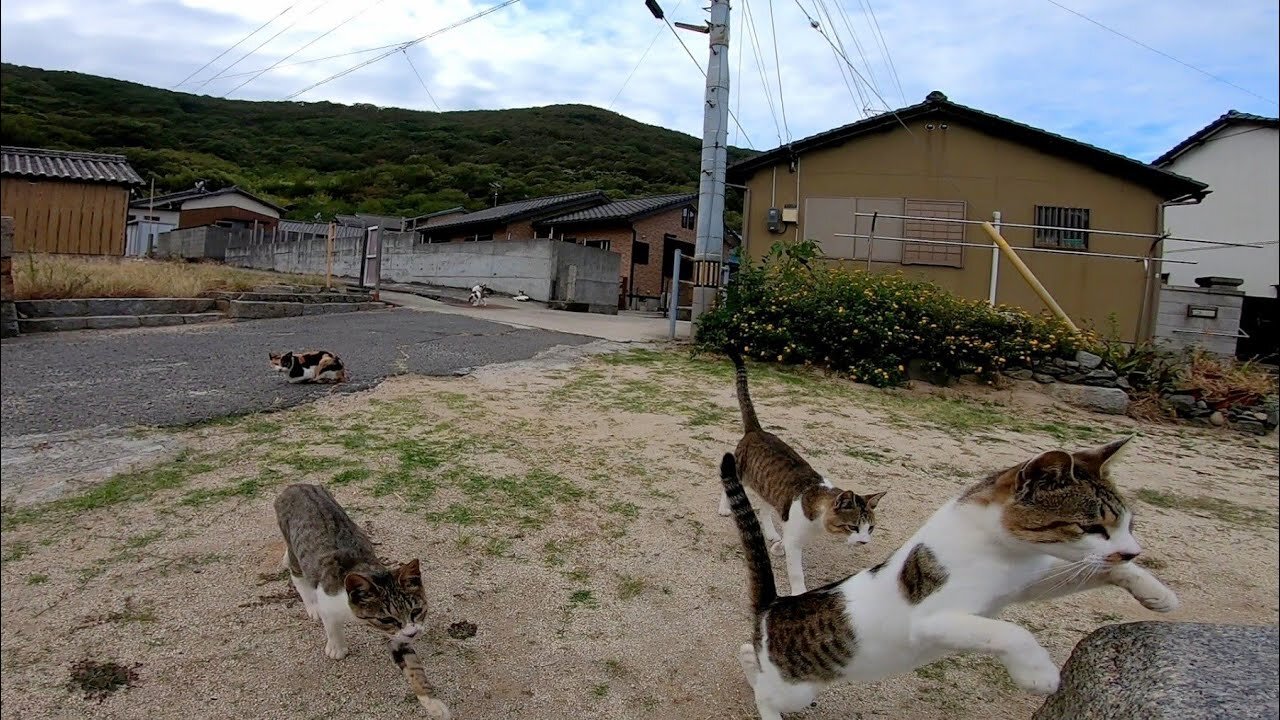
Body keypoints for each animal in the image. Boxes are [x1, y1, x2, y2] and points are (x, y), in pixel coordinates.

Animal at [273, 481, 450, 717]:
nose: (413, 634)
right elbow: (331, 625)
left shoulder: (400, 636)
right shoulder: (327, 599)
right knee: (297, 574)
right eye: (387, 619)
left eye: (416, 611)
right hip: (294, 545)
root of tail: (296, 485)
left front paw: (431, 702)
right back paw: (310, 605)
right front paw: (336, 648)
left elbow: (412, 665)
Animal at [716, 438, 1172, 717]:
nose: (1133, 548)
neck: (1005, 554)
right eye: (1092, 527)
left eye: (1129, 524)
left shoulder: (1026, 583)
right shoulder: (932, 620)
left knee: (746, 653)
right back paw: (768, 711)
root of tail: (775, 605)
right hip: (794, 688)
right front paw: (1039, 675)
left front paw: (1158, 596)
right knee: (762, 685)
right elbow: (1013, 632)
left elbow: (1092, 572)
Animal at [721, 345, 890, 589]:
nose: (864, 542)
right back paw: (724, 508)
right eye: (853, 527)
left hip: (767, 485)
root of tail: (756, 430)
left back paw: (770, 531)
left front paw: (777, 545)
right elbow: (796, 572)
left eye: (871, 528)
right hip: (741, 471)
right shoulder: (795, 538)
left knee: (765, 507)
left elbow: (784, 537)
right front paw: (798, 589)